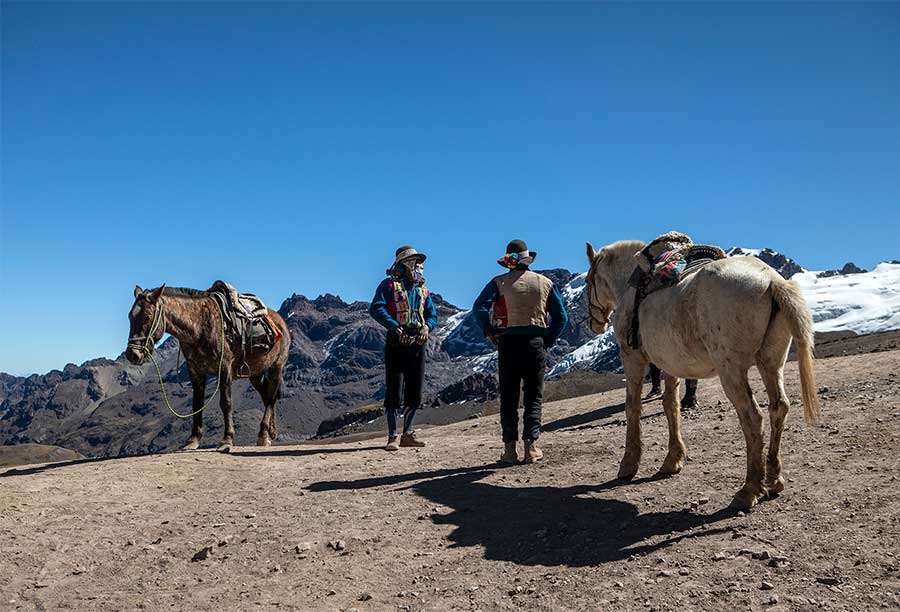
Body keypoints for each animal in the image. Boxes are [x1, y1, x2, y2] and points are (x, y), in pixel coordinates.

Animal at [124, 284, 288, 452]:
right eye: (130, 317)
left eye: (147, 317)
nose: (132, 354)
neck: (199, 326)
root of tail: (281, 322)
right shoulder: (195, 371)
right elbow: (197, 404)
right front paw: (193, 440)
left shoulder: (225, 369)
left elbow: (226, 403)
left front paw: (227, 440)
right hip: (255, 373)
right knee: (267, 395)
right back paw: (268, 434)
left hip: (276, 367)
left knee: (270, 397)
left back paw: (263, 434)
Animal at [588, 240, 820, 512]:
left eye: (589, 281)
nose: (594, 324)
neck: (631, 284)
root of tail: (773, 281)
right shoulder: (670, 364)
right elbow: (671, 406)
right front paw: (673, 460)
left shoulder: (632, 358)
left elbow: (632, 407)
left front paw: (628, 464)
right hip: (771, 364)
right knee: (779, 407)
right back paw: (773, 480)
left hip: (732, 370)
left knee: (753, 418)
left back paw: (749, 490)